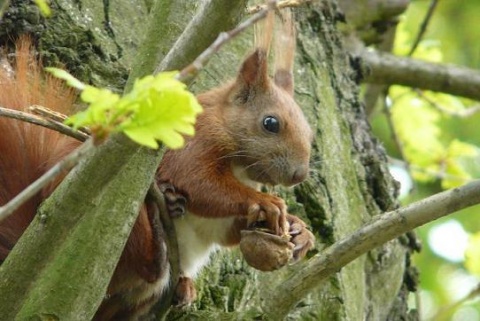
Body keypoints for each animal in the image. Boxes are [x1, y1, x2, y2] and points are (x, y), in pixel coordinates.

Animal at [0, 8, 316, 318]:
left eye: (310, 132)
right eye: (270, 123)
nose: (299, 175)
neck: (241, 168)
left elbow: (229, 230)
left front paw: (300, 230)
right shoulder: (190, 143)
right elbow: (200, 185)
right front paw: (268, 202)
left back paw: (183, 287)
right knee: (146, 260)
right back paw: (160, 234)